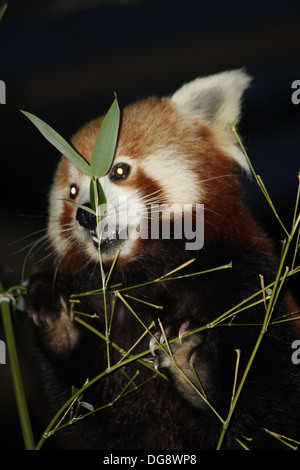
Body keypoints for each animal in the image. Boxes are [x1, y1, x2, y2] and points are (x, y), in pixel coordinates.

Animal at [25, 69, 300, 448]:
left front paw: (191, 373)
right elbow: (104, 411)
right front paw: (57, 318)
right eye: (73, 191)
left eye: (119, 171)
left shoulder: (249, 282)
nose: (84, 215)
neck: (148, 276)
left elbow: (265, 411)